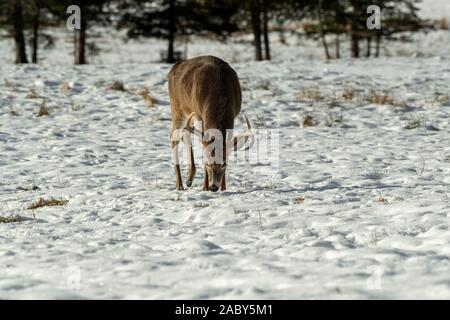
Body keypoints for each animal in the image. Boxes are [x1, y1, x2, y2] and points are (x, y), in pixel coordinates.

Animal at [168, 56, 253, 191]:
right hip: (177, 108)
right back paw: (180, 185)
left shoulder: (234, 114)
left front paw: (223, 188)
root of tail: (174, 67)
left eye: (224, 163)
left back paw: (189, 179)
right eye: (208, 162)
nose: (213, 187)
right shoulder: (199, 115)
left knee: (185, 134)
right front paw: (204, 187)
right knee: (174, 137)